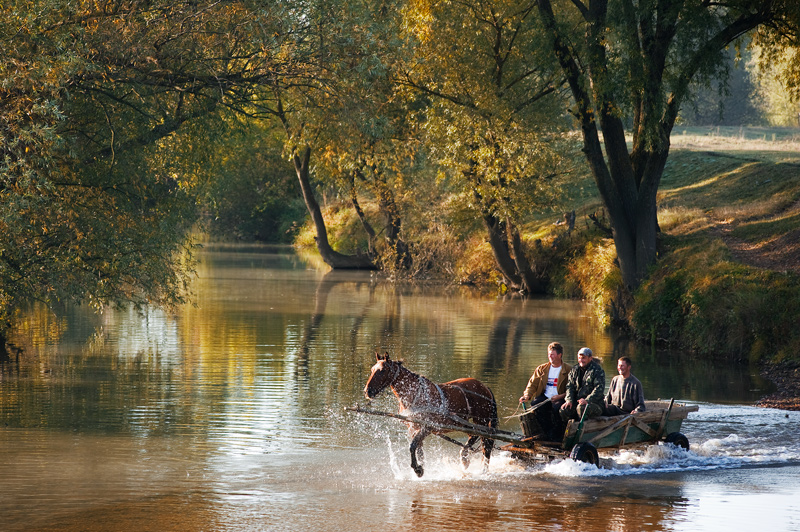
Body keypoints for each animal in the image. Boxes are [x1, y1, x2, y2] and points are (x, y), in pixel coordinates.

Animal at [360, 354, 494, 478]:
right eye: (372, 369)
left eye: (382, 370)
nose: (367, 391)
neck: (414, 394)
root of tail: (485, 387)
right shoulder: (413, 428)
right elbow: (419, 450)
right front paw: (420, 468)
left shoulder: (427, 427)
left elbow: (413, 446)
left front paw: (417, 469)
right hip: (464, 423)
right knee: (473, 436)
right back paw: (464, 458)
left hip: (481, 421)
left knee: (486, 446)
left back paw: (482, 470)